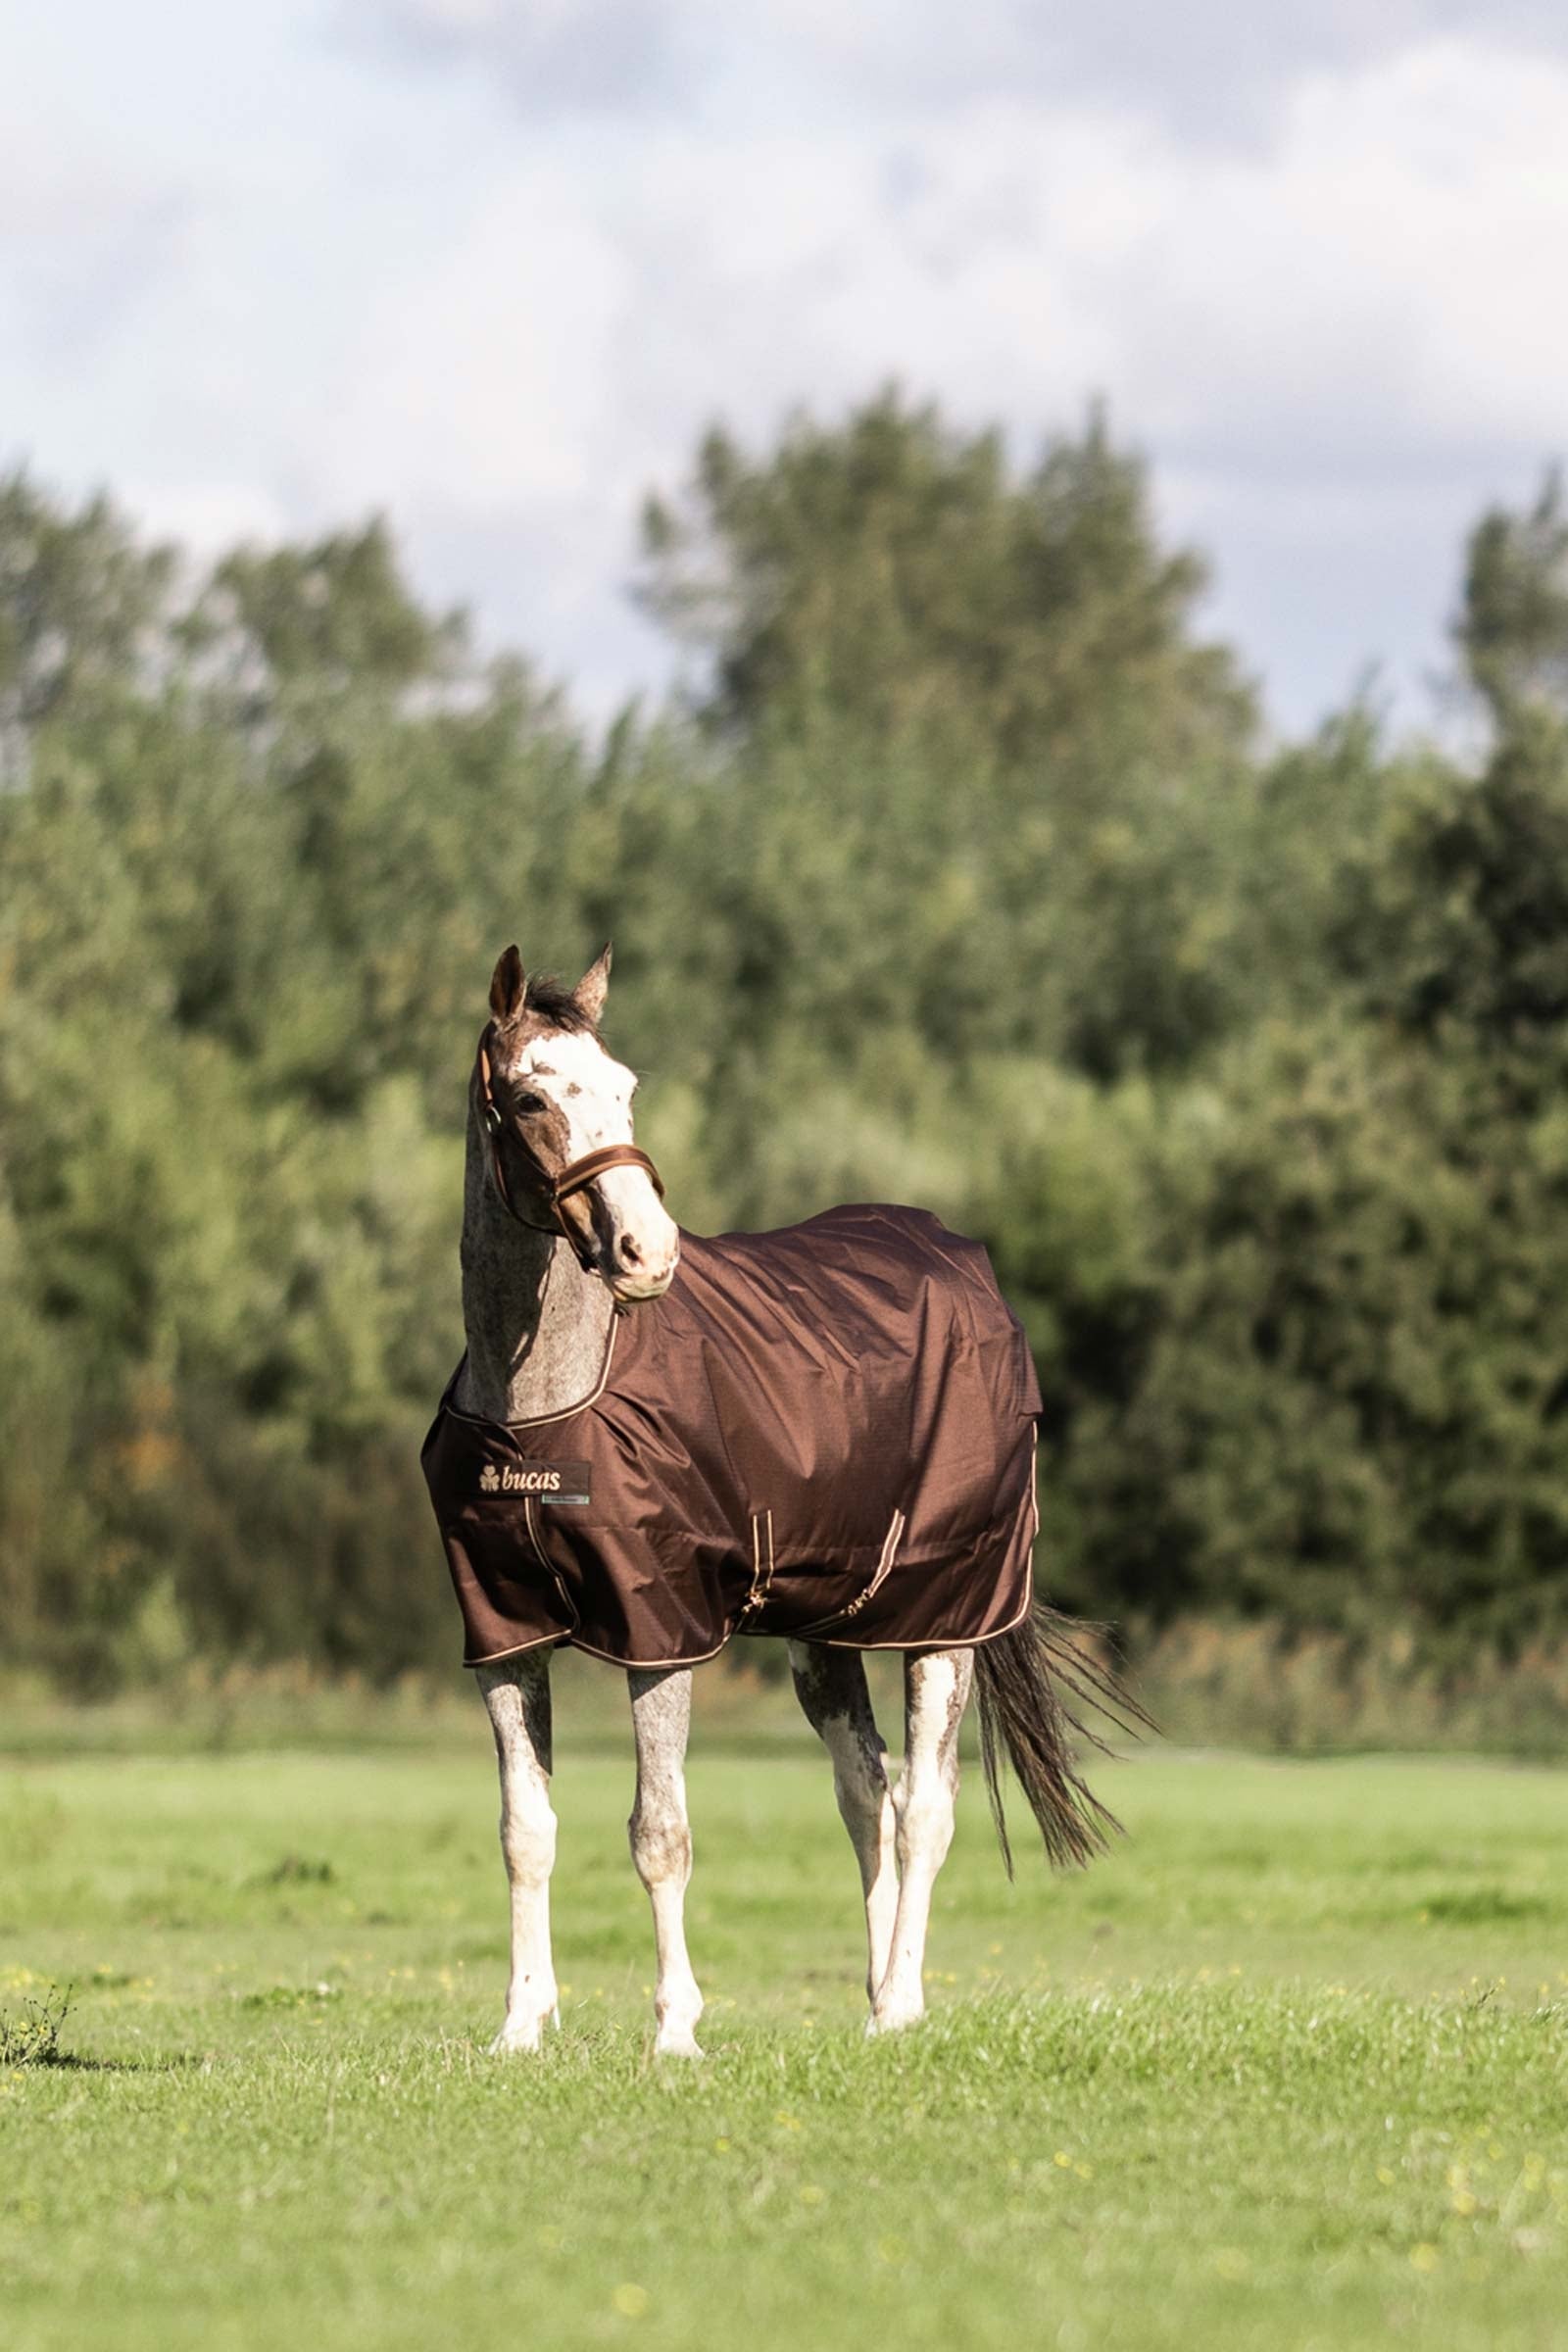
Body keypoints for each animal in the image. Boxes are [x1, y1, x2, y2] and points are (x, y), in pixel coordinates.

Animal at [422, 944, 1121, 2056]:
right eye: (531, 1098)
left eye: (624, 1089)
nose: (649, 1253)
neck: (543, 1405)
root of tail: (971, 1273)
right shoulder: (503, 1633)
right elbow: (524, 1831)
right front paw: (520, 2028)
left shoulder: (659, 1630)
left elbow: (659, 1834)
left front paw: (675, 2032)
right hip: (826, 1626)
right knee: (867, 1792)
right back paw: (875, 1997)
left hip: (947, 1618)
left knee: (927, 1806)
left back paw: (902, 2008)